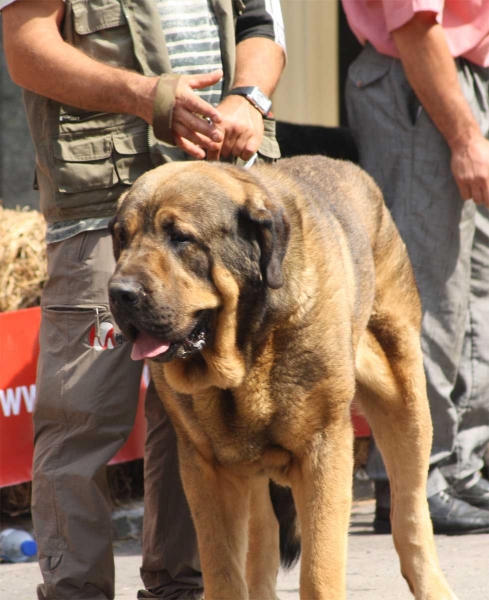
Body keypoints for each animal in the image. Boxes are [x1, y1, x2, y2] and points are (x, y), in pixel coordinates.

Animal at [108, 156, 456, 600]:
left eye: (181, 238)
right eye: (121, 237)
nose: (120, 292)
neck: (247, 350)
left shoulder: (324, 449)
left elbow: (319, 569)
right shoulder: (206, 469)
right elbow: (223, 569)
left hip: (404, 399)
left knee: (409, 510)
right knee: (263, 537)